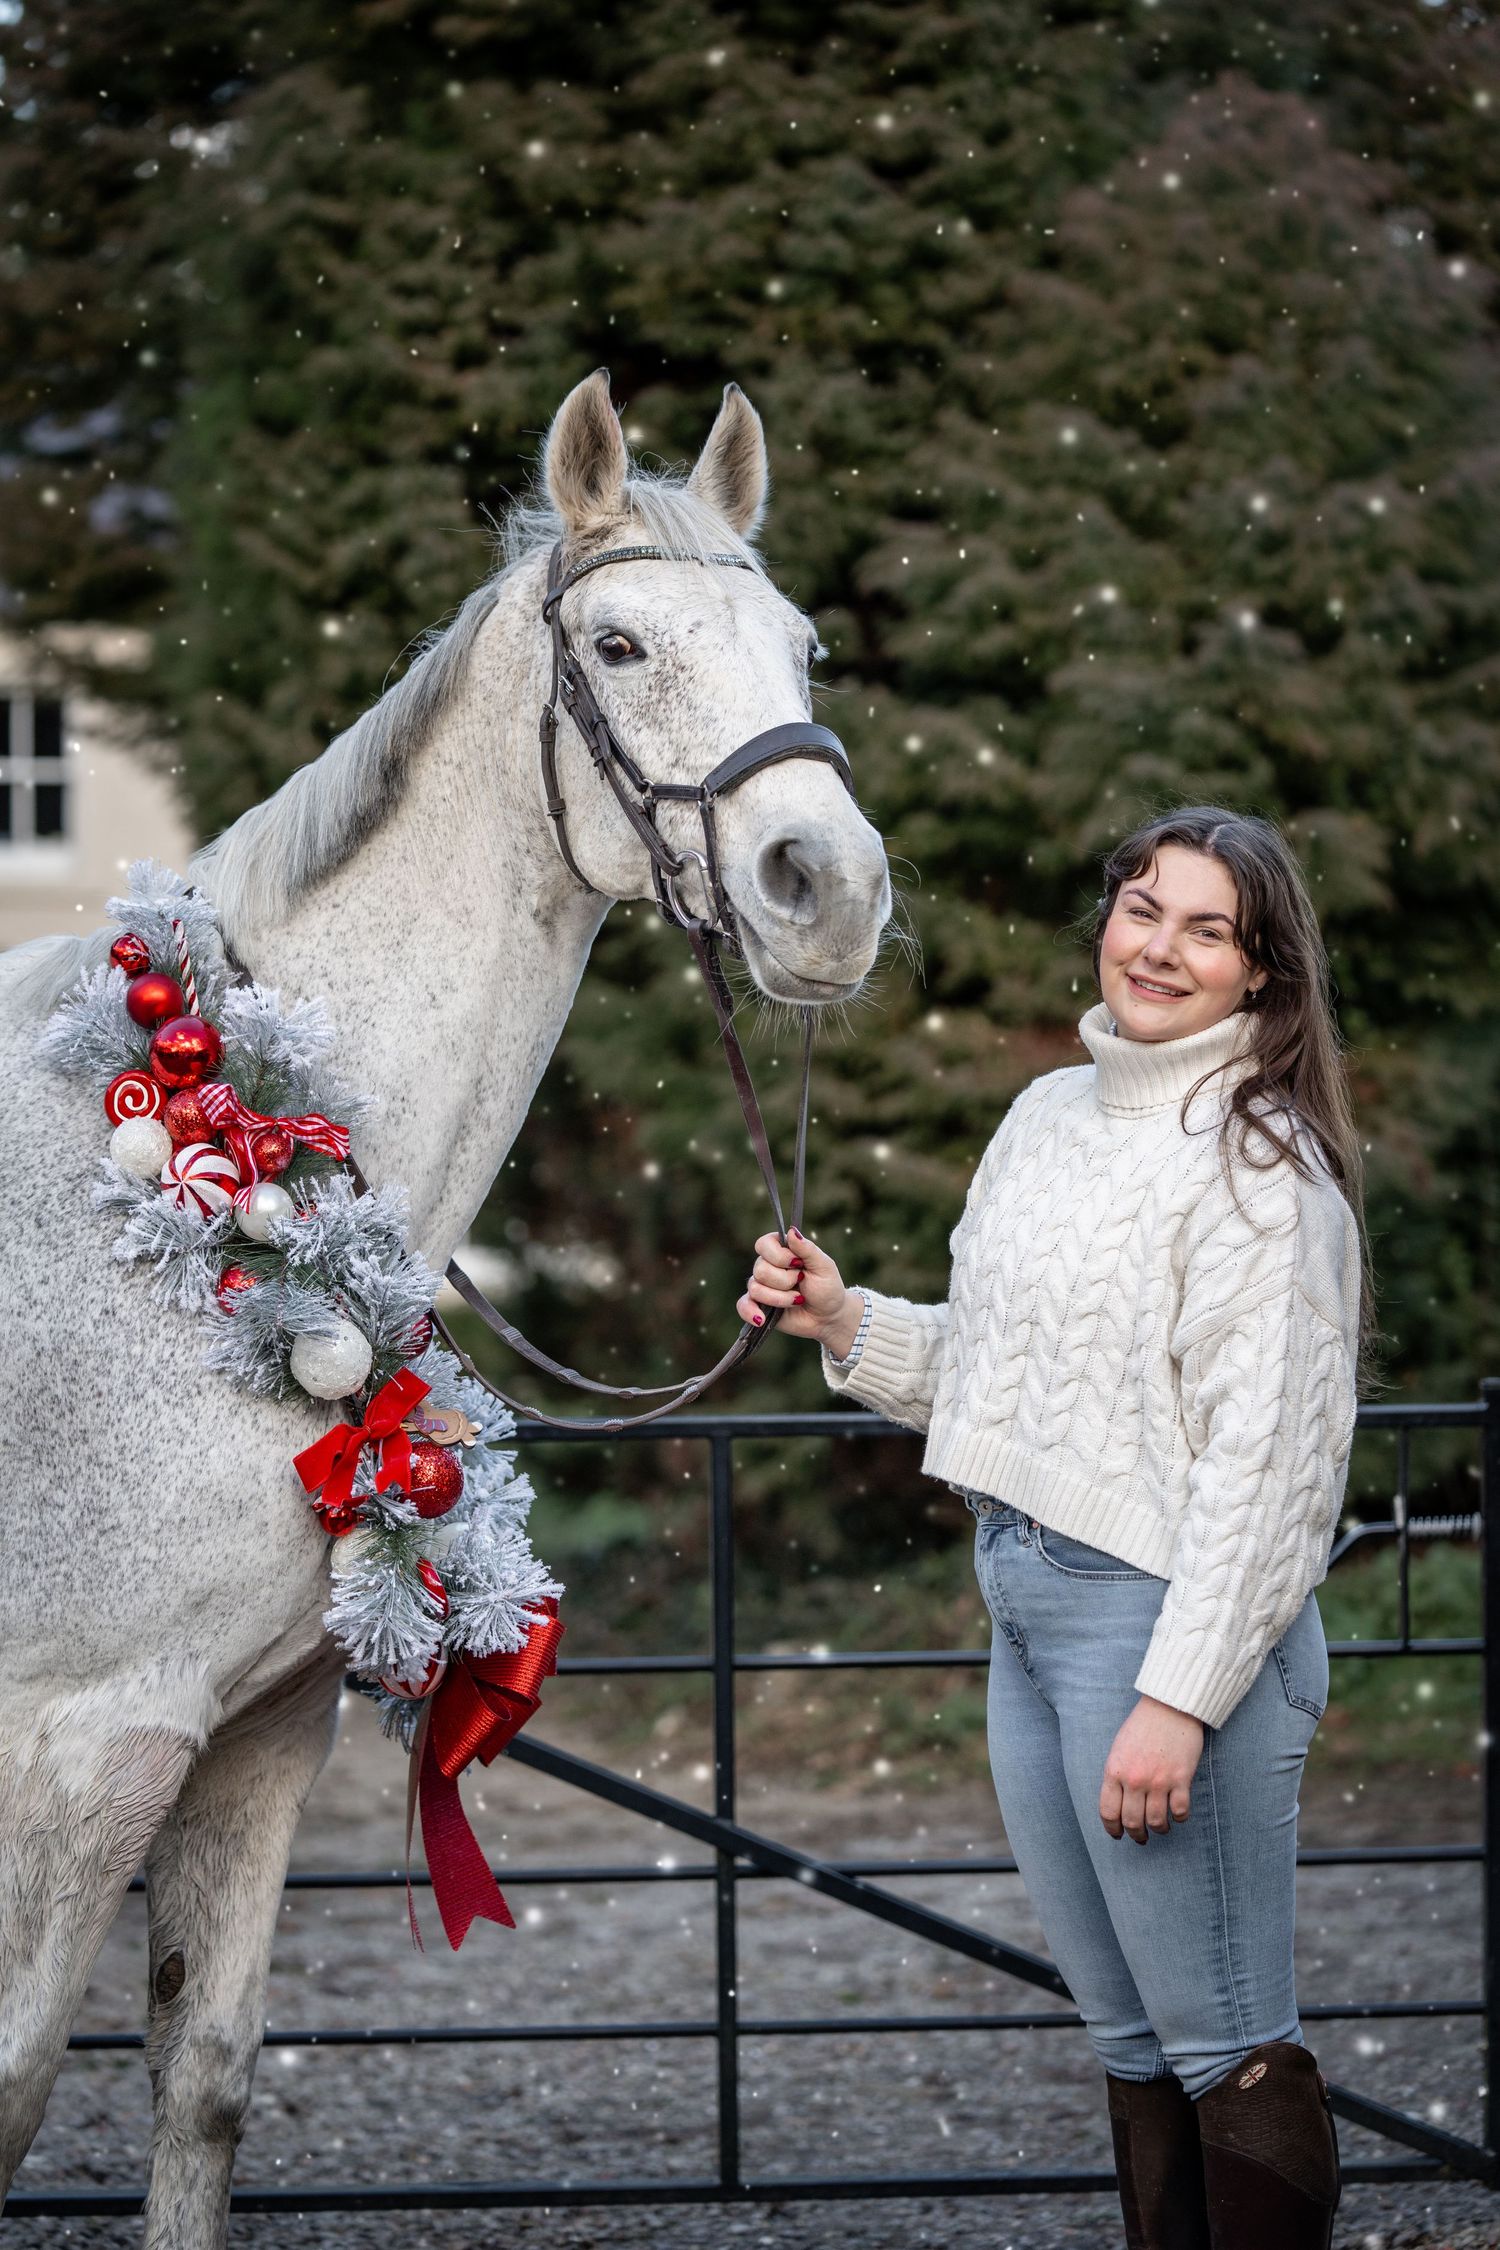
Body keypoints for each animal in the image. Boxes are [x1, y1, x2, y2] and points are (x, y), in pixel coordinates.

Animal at [0, 369, 892, 2246]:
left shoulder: (253, 1739)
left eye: (801, 645)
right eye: (619, 644)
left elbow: (202, 2086)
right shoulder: (80, 1748)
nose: (829, 886)